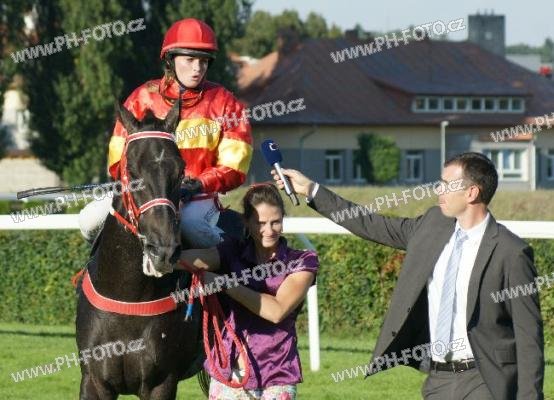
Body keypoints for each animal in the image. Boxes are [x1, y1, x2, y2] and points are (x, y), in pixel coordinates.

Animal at [75, 100, 241, 399]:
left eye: (181, 171)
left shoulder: (160, 382)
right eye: (132, 172)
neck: (128, 298)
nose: (163, 250)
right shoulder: (94, 381)